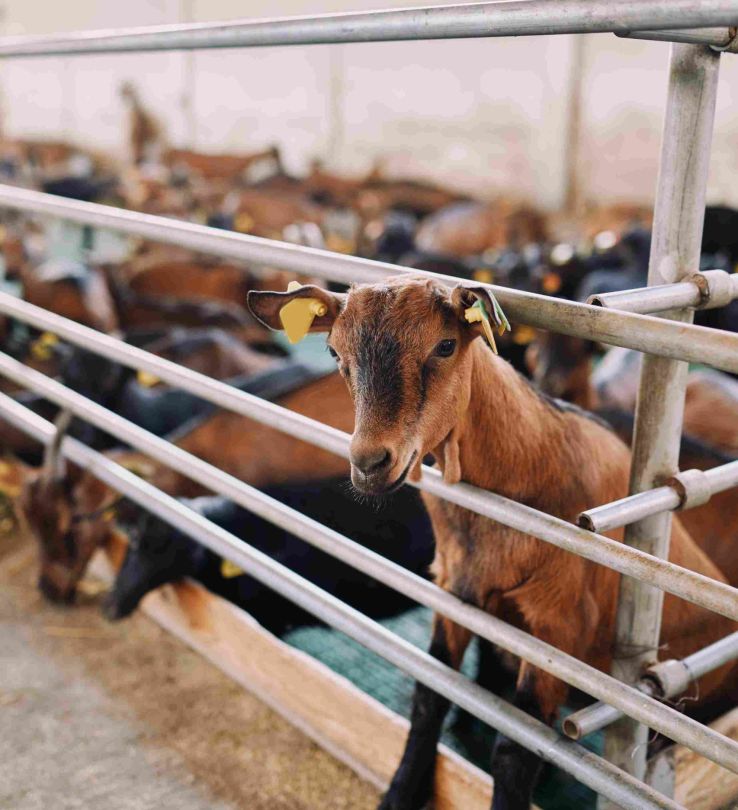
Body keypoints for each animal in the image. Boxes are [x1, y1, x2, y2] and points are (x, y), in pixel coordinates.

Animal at [248, 276, 738, 810]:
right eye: (334, 351)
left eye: (445, 345)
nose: (370, 463)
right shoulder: (454, 590)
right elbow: (430, 696)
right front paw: (399, 793)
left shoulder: (558, 623)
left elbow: (514, 749)